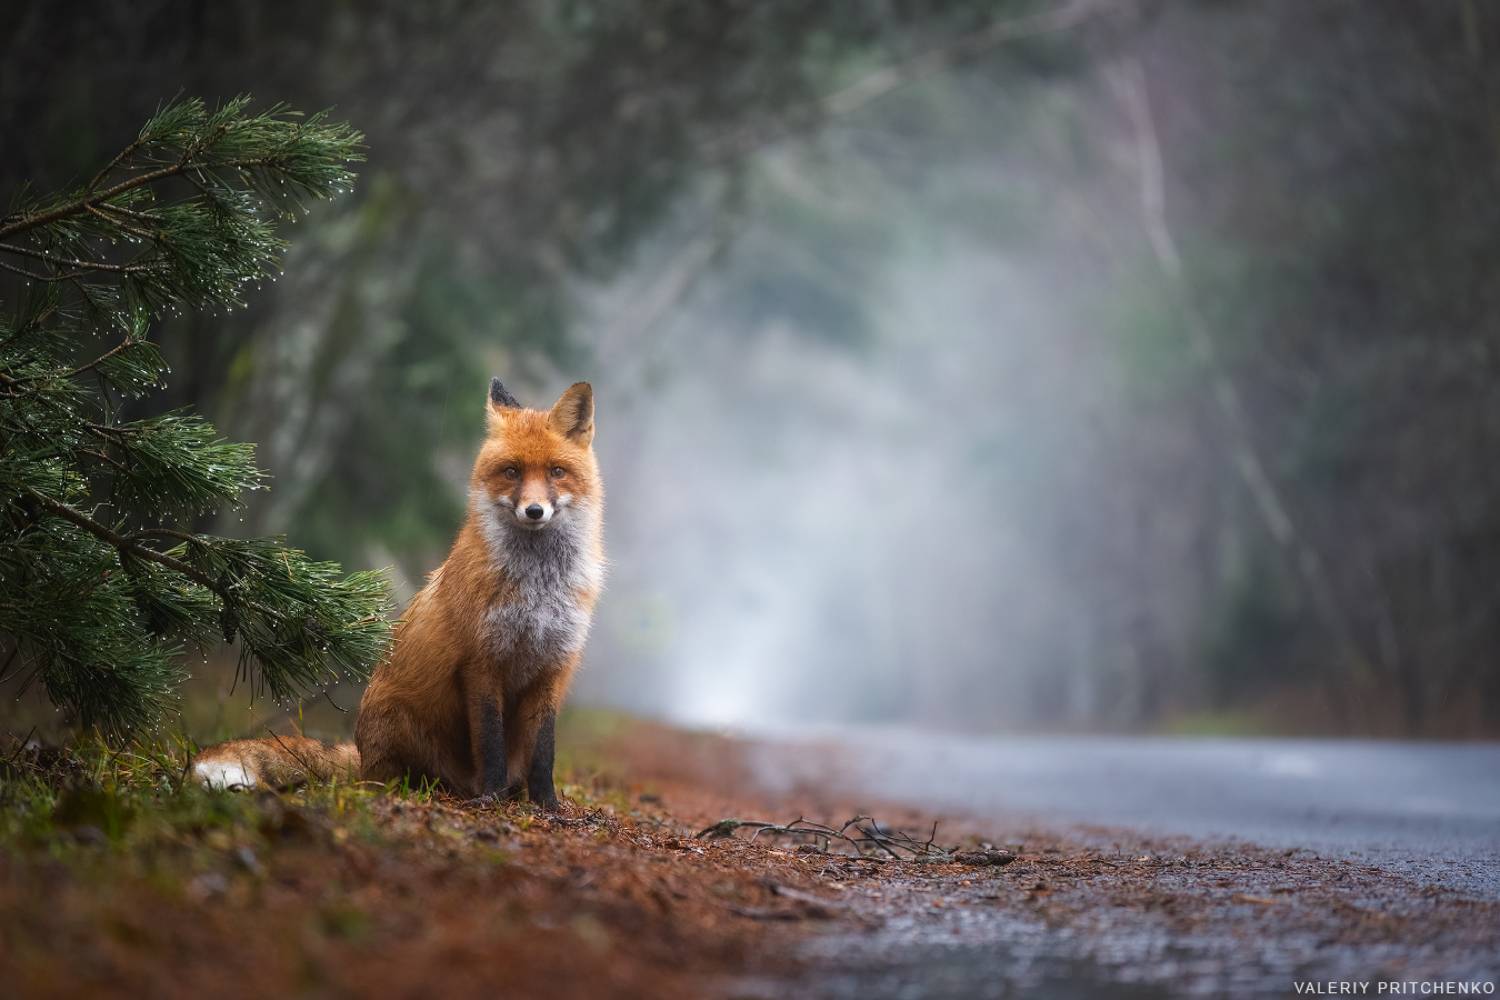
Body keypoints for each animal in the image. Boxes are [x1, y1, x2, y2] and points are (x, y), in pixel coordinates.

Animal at [192, 378, 604, 808]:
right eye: (512, 471)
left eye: (556, 472)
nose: (534, 511)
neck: (537, 589)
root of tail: (362, 757)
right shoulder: (481, 662)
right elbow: (490, 743)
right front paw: (490, 798)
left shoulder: (553, 667)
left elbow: (544, 751)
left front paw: (547, 806)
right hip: (399, 724)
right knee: (395, 779)